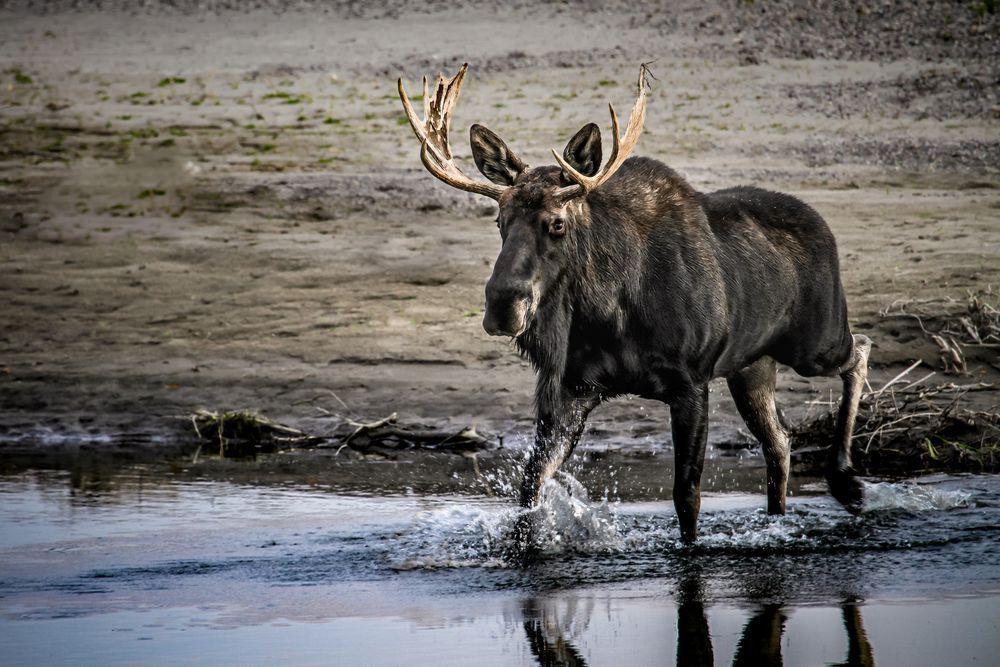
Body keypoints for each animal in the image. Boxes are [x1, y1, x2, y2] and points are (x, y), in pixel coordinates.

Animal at [398, 64, 872, 544]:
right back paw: (783, 515)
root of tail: (824, 228)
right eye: (500, 220)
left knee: (860, 350)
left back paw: (845, 480)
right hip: (751, 366)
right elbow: (530, 487)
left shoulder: (690, 383)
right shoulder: (573, 389)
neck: (611, 314)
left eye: (557, 223)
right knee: (779, 439)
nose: (502, 306)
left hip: (815, 342)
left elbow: (686, 496)